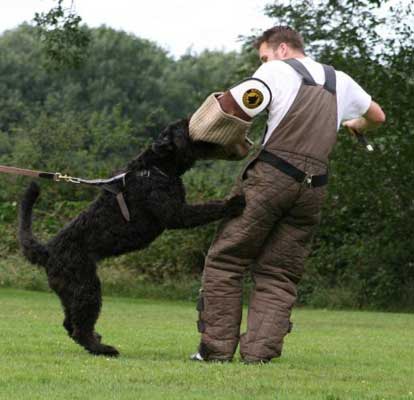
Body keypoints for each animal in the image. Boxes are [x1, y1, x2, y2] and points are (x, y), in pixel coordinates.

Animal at [19, 119, 244, 356]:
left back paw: (97, 340)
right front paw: (234, 203)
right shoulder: (177, 213)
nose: (191, 120)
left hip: (68, 293)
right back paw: (103, 348)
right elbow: (208, 207)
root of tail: (47, 251)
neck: (155, 168)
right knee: (80, 327)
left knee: (70, 324)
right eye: (183, 128)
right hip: (86, 288)